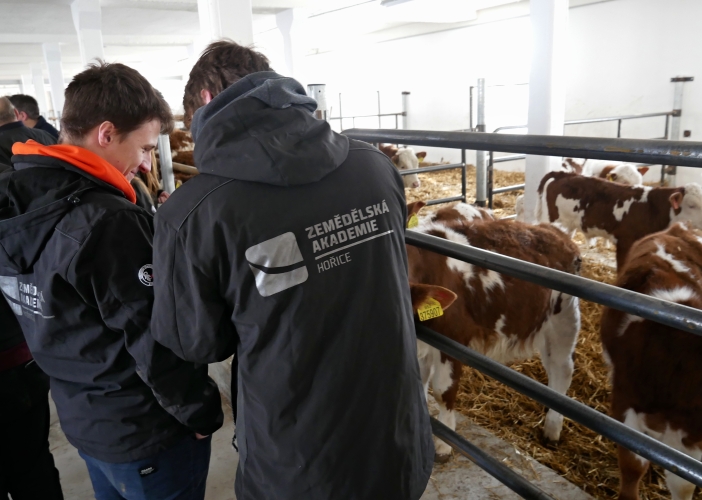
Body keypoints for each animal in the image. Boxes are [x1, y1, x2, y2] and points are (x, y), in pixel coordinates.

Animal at [408, 202, 584, 460]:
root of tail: (555, 231)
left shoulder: (452, 338)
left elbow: (443, 391)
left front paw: (443, 444)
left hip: (564, 317)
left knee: (562, 369)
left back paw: (552, 429)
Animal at [540, 170, 702, 268]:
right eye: (691, 205)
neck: (652, 208)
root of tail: (565, 174)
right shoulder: (625, 242)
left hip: (569, 226)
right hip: (555, 220)